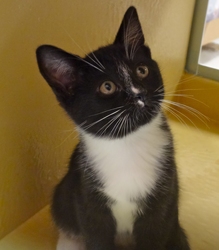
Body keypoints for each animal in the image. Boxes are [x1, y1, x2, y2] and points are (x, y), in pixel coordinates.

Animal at [36, 5, 190, 250]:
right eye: (107, 87)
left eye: (142, 70)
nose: (139, 94)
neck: (127, 145)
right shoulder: (88, 199)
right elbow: (96, 237)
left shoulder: (162, 201)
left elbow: (155, 234)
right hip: (64, 194)